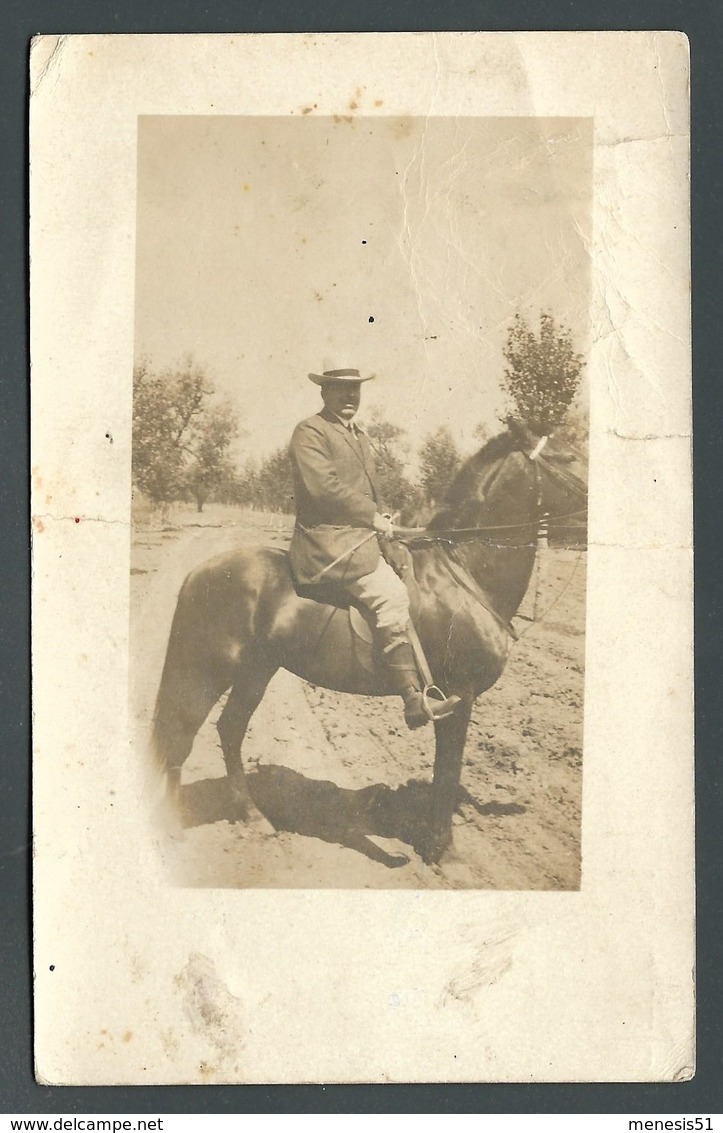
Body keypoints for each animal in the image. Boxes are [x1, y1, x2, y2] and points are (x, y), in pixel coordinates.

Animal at [152, 416, 589, 856]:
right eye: (569, 458)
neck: (463, 572)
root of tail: (201, 571)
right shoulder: (459, 694)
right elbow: (447, 772)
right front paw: (442, 850)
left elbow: (444, 773)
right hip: (208, 670)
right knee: (180, 733)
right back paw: (172, 825)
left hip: (256, 671)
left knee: (229, 730)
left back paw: (254, 817)